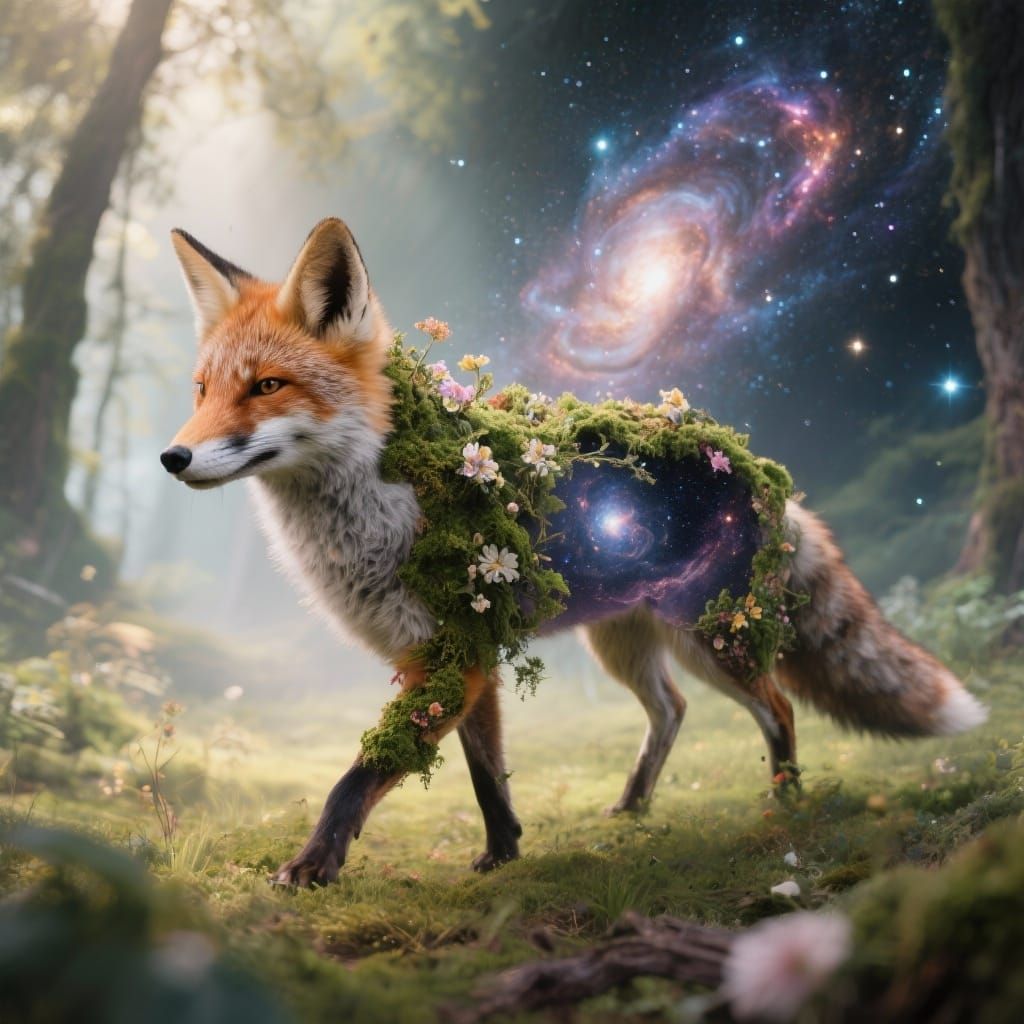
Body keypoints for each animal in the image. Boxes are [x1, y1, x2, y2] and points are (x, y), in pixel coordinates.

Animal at [161, 217, 987, 887]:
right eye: (200, 390)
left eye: (267, 386)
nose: (173, 458)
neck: (379, 510)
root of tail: (752, 465)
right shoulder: (464, 659)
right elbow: (487, 778)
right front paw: (503, 855)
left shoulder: (454, 656)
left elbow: (363, 774)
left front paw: (313, 865)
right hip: (625, 643)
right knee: (673, 711)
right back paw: (634, 805)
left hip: (711, 637)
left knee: (779, 707)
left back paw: (785, 805)